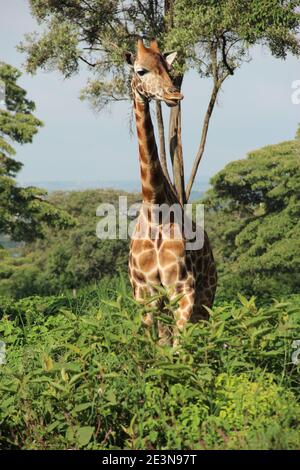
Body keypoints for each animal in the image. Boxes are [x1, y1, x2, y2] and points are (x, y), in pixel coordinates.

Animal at [125, 39, 217, 342]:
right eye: (140, 70)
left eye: (168, 67)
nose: (174, 95)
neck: (155, 210)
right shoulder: (145, 294)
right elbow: (157, 348)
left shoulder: (183, 290)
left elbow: (178, 349)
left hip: (206, 298)